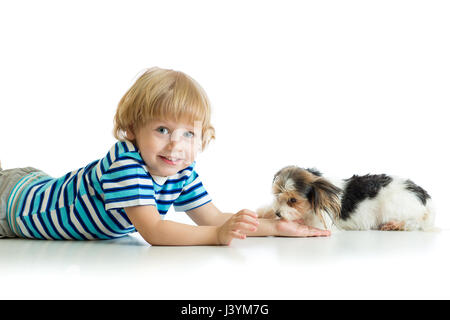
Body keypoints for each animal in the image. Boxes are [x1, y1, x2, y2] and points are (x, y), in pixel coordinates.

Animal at [256, 166, 436, 231]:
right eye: (277, 195)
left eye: (293, 200)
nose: (278, 213)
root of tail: (424, 198)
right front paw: (263, 211)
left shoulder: (321, 221)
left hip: (394, 206)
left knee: (415, 222)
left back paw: (395, 225)